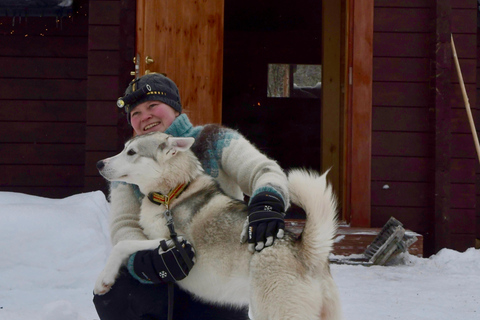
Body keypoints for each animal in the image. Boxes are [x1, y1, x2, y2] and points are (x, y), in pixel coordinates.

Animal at [93, 131, 342, 318]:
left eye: (131, 152)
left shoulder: (176, 242)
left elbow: (122, 246)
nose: (99, 163)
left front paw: (104, 279)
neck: (172, 194)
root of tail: (303, 249)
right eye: (124, 148)